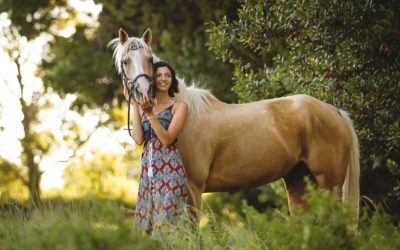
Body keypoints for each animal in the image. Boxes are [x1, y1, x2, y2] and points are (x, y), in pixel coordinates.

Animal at [108, 27, 360, 221]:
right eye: (125, 61)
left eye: (150, 60)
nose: (144, 96)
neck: (185, 113)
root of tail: (333, 110)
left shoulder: (192, 188)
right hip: (299, 183)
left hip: (330, 185)